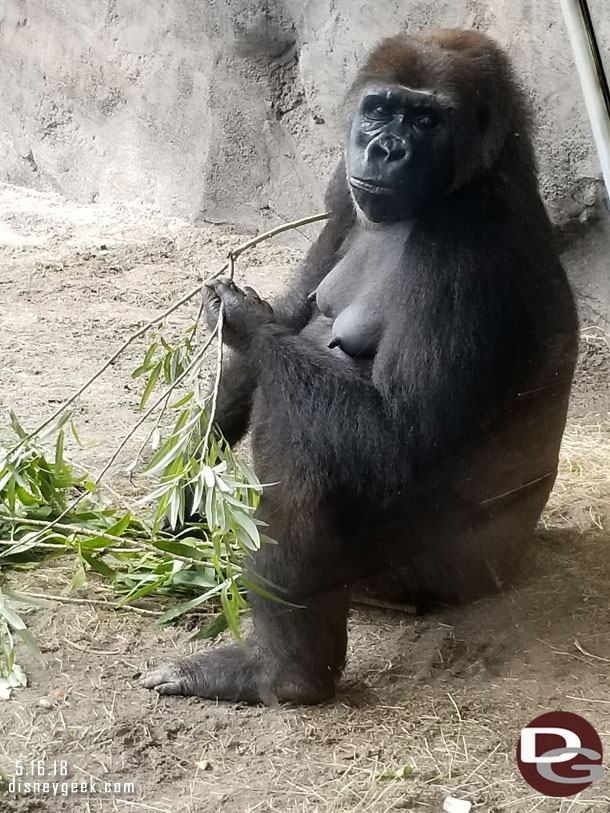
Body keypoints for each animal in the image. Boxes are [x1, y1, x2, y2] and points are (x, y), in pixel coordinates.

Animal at [140, 31, 576, 700]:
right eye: (380, 109)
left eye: (426, 120)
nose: (385, 149)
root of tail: (516, 562)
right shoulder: (342, 195)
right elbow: (293, 316)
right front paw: (183, 490)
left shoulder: (466, 241)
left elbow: (398, 435)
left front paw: (242, 319)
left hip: (449, 578)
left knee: (297, 436)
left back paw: (286, 672)